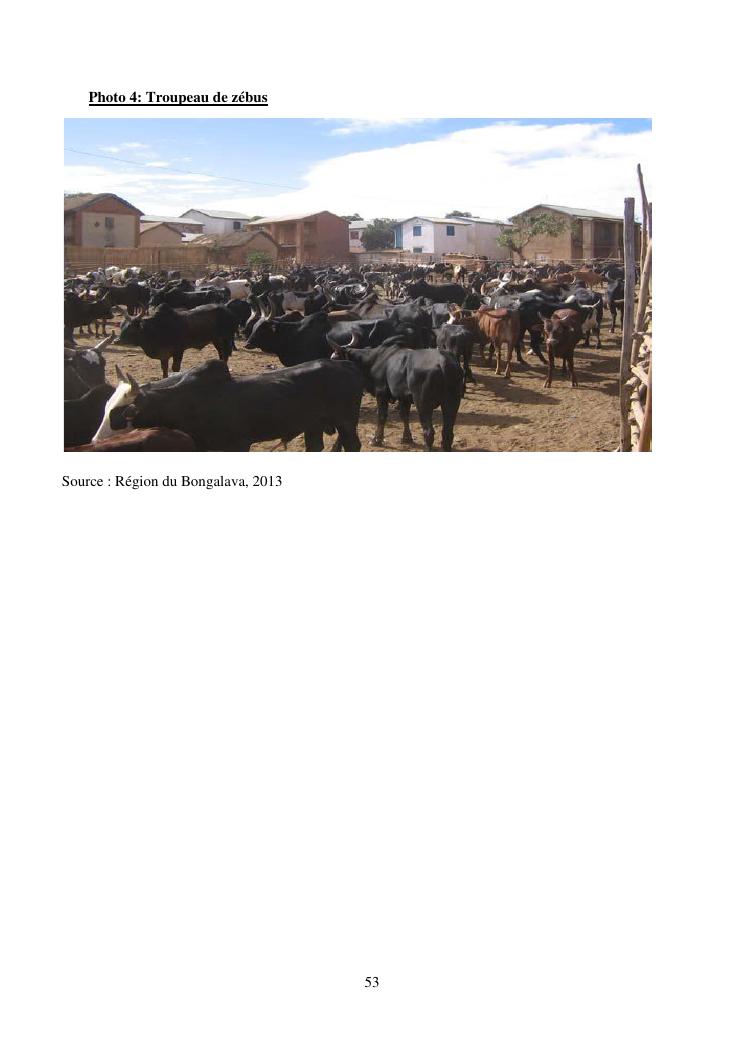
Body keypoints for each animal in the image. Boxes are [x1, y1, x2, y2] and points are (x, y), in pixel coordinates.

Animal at [96, 358, 364, 451]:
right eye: (106, 407)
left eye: (123, 412)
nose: (96, 441)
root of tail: (345, 364)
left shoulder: (238, 445)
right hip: (313, 425)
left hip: (346, 422)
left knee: (353, 446)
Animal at [328, 333, 462, 451]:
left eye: (335, 357)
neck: (372, 360)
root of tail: (443, 362)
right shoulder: (404, 397)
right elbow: (404, 416)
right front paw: (407, 438)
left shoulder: (381, 393)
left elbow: (382, 416)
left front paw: (376, 439)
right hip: (452, 403)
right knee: (448, 433)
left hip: (423, 404)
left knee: (429, 432)